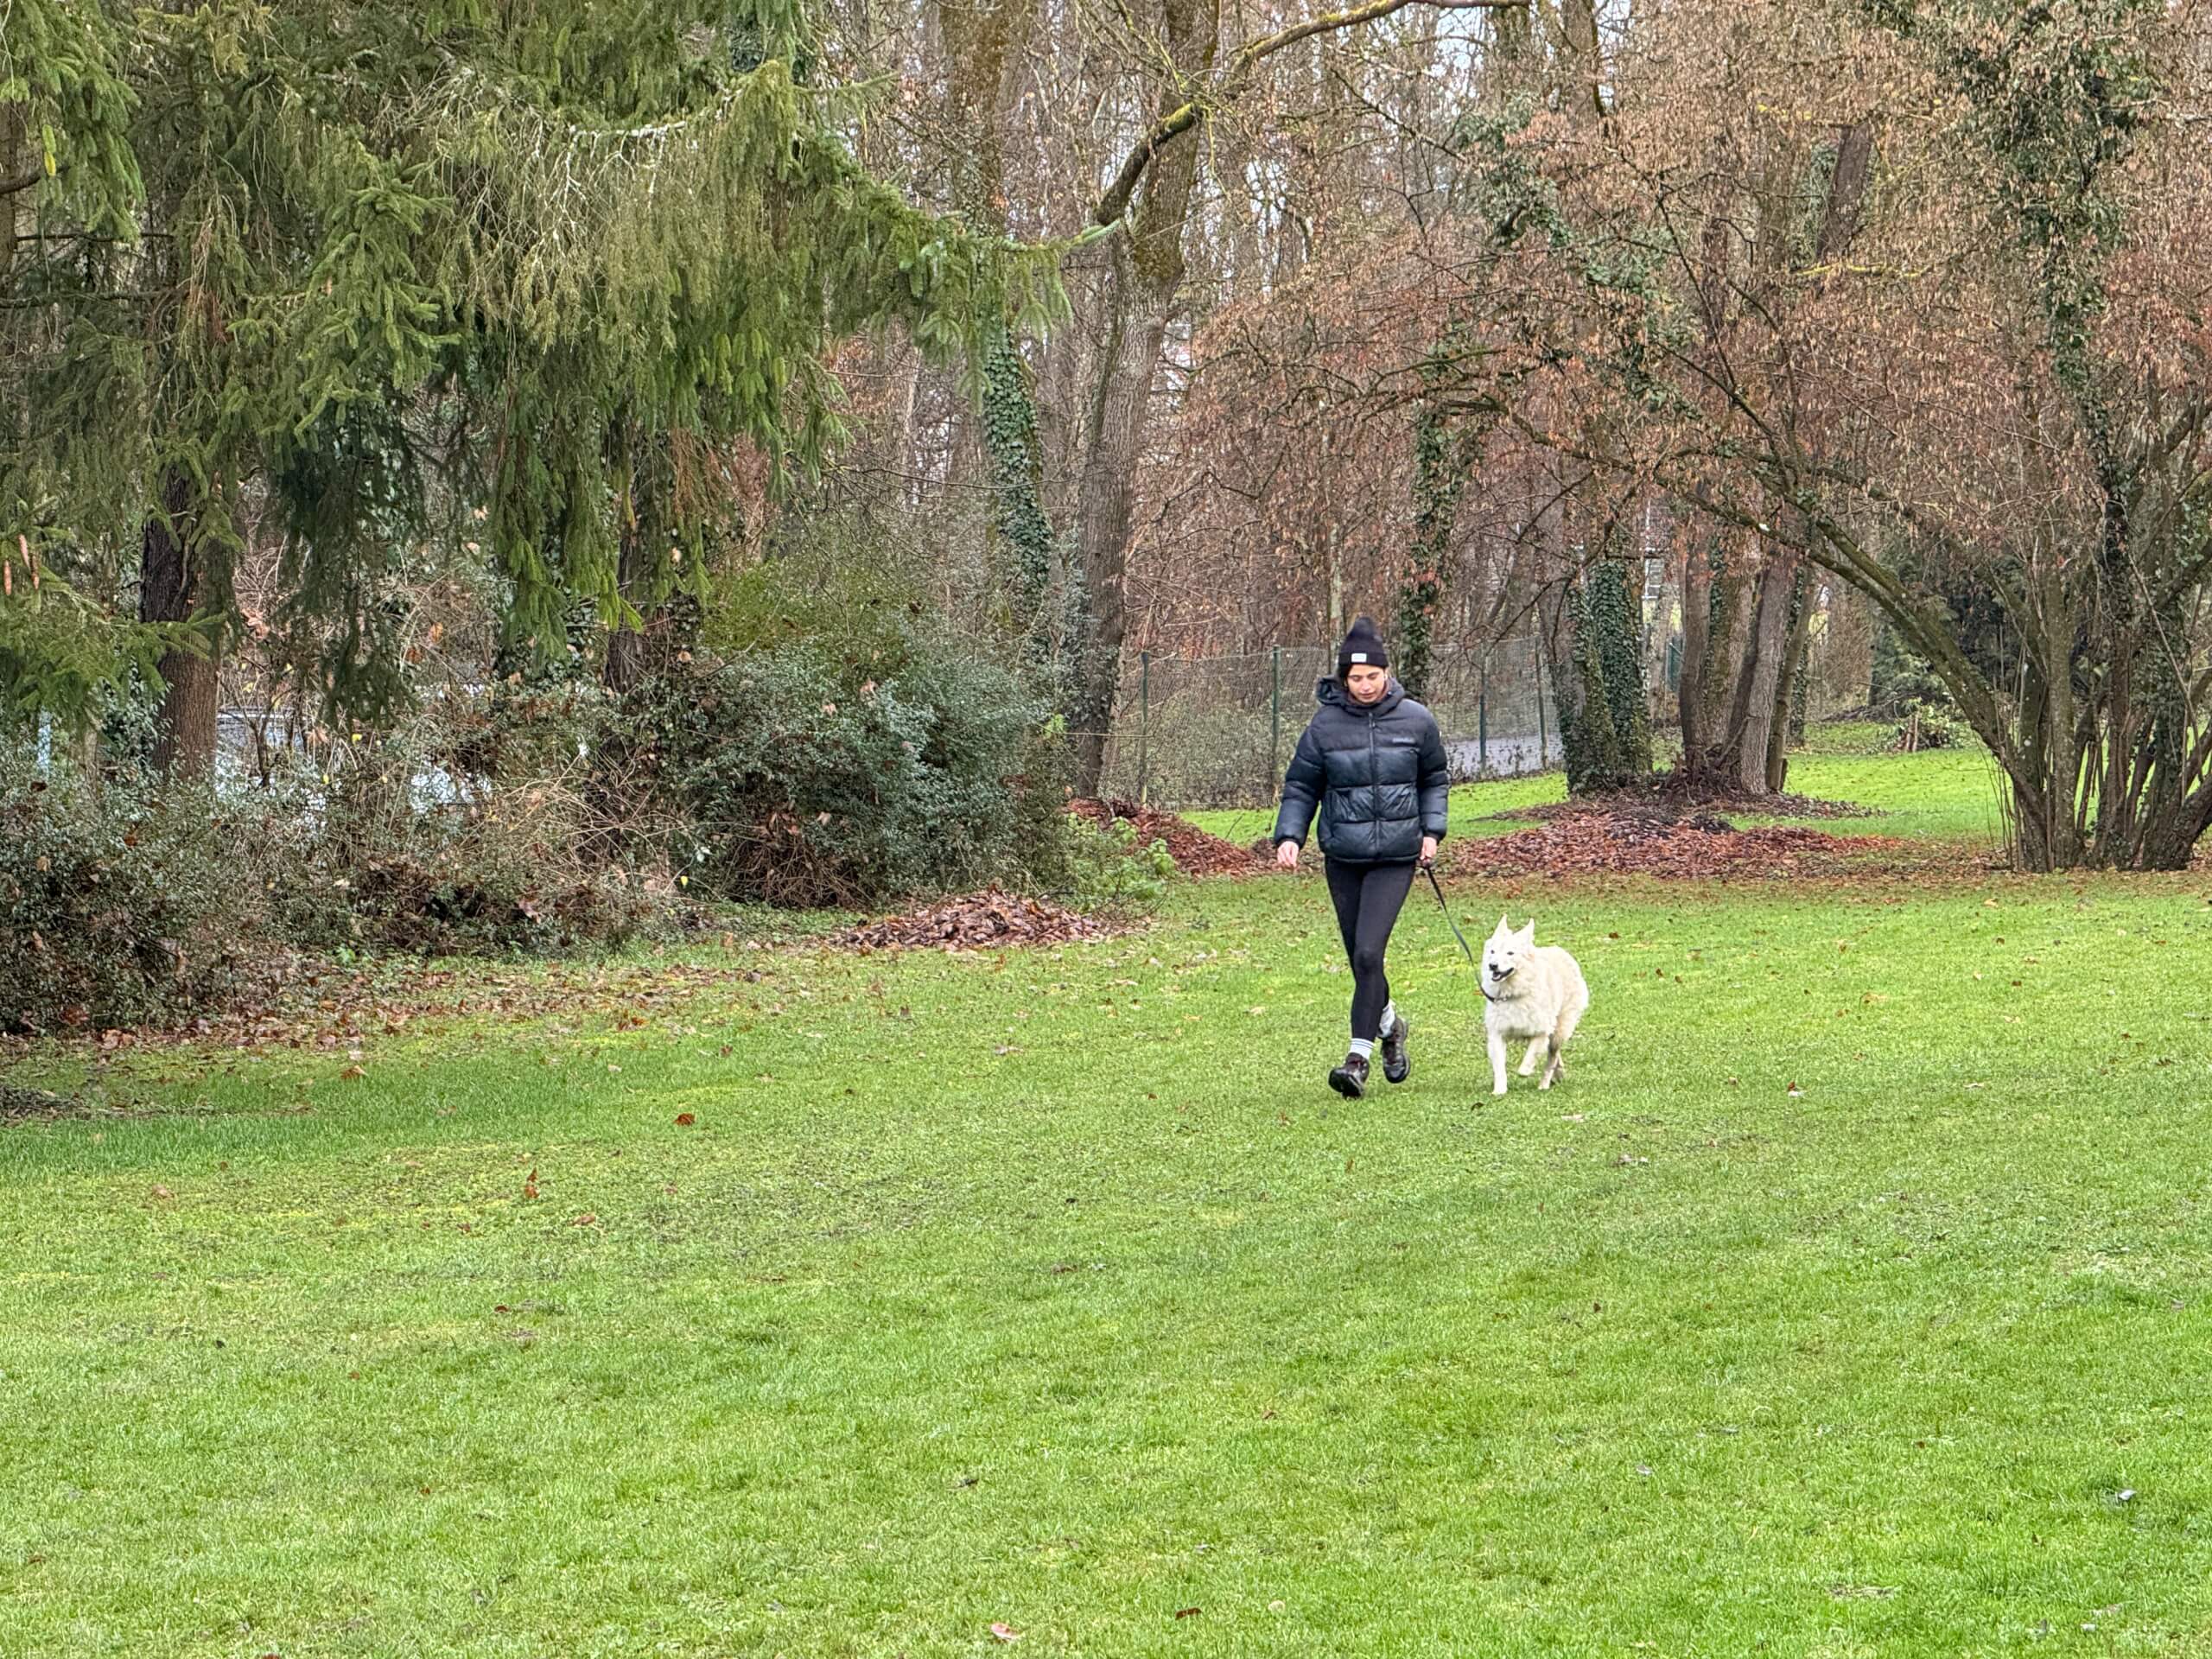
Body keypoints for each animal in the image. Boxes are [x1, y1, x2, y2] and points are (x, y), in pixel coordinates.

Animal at [1481, 914, 1589, 1095]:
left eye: (1510, 953)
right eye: (1492, 952)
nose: (1492, 966)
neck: (1513, 993)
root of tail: (1560, 951)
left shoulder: (1541, 1031)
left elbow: (1531, 1057)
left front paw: (1525, 1070)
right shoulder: (1497, 1033)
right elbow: (1499, 1066)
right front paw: (1500, 1090)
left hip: (1560, 1030)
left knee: (1552, 1057)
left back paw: (1544, 1084)